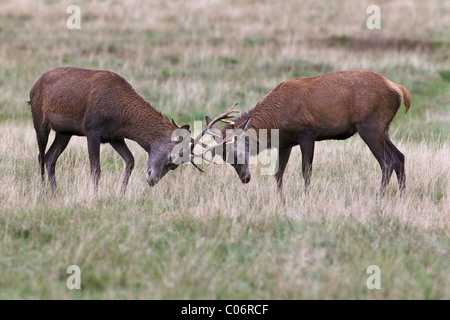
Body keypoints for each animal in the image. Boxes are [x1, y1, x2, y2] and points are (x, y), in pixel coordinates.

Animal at [28, 66, 202, 196]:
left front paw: (121, 195)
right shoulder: (92, 129)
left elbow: (130, 160)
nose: (152, 180)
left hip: (64, 132)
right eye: (172, 160)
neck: (121, 117)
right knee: (41, 155)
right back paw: (44, 192)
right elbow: (96, 169)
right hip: (39, 120)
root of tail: (32, 87)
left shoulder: (114, 137)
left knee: (50, 157)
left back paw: (55, 193)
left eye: (175, 166)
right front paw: (95, 197)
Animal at [203, 71, 412, 196]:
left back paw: (380, 198)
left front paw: (306, 197)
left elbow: (306, 171)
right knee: (399, 157)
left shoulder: (307, 133)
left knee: (387, 163)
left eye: (238, 152)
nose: (245, 178)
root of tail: (400, 90)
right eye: (225, 158)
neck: (276, 121)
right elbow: (279, 173)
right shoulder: (285, 142)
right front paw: (281, 200)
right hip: (383, 129)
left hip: (370, 126)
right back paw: (401, 196)